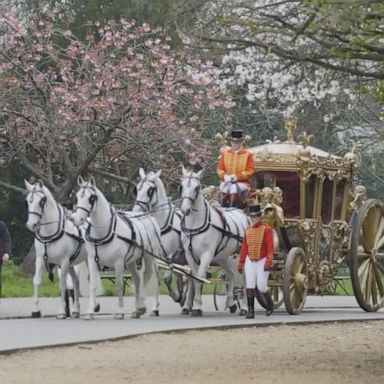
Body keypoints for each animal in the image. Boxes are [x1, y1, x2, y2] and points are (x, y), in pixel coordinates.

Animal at [25, 179, 92, 318]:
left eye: (41, 201)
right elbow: (37, 281)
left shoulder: (64, 261)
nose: (31, 225)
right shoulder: (40, 259)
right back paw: (76, 310)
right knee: (76, 282)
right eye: (28, 201)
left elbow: (62, 285)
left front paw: (61, 312)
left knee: (89, 280)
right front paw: (36, 310)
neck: (49, 233)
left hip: (86, 260)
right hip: (72, 263)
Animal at [71, 176, 160, 320]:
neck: (103, 233)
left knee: (147, 275)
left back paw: (142, 305)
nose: (76, 219)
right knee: (137, 279)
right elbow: (92, 285)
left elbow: (119, 284)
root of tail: (147, 215)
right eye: (78, 197)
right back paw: (136, 310)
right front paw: (90, 311)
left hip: (149, 255)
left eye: (91, 198)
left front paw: (119, 311)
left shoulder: (118, 262)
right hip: (131, 261)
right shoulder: (92, 260)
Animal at [133, 169, 192, 312]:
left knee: (190, 278)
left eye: (150, 190)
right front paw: (155, 307)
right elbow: (158, 280)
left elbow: (166, 278)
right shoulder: (156, 256)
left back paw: (186, 304)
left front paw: (176, 296)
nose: (136, 211)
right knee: (182, 277)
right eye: (137, 189)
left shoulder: (170, 256)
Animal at [178, 166, 248, 316]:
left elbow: (199, 277)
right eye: (181, 186)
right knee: (231, 275)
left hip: (239, 256)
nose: (185, 210)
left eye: (197, 187)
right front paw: (192, 306)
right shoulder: (189, 255)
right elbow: (194, 279)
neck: (195, 225)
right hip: (223, 257)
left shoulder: (206, 255)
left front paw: (197, 306)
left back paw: (245, 307)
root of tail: (243, 214)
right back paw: (231, 303)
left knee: (243, 277)